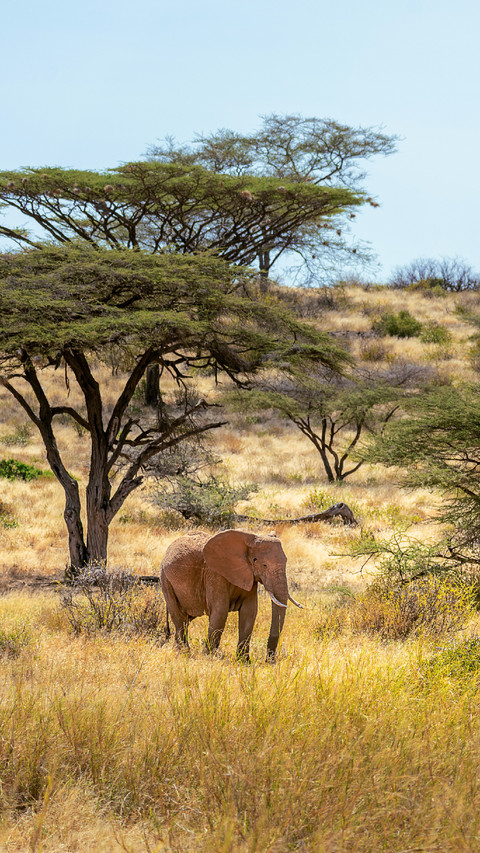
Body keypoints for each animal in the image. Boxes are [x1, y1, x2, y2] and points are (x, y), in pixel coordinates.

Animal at [160, 528, 302, 662]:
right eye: (264, 565)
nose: (269, 661)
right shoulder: (215, 574)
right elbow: (220, 612)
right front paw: (209, 657)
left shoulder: (249, 577)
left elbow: (249, 613)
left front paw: (244, 662)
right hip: (165, 580)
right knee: (180, 620)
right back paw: (184, 654)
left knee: (186, 620)